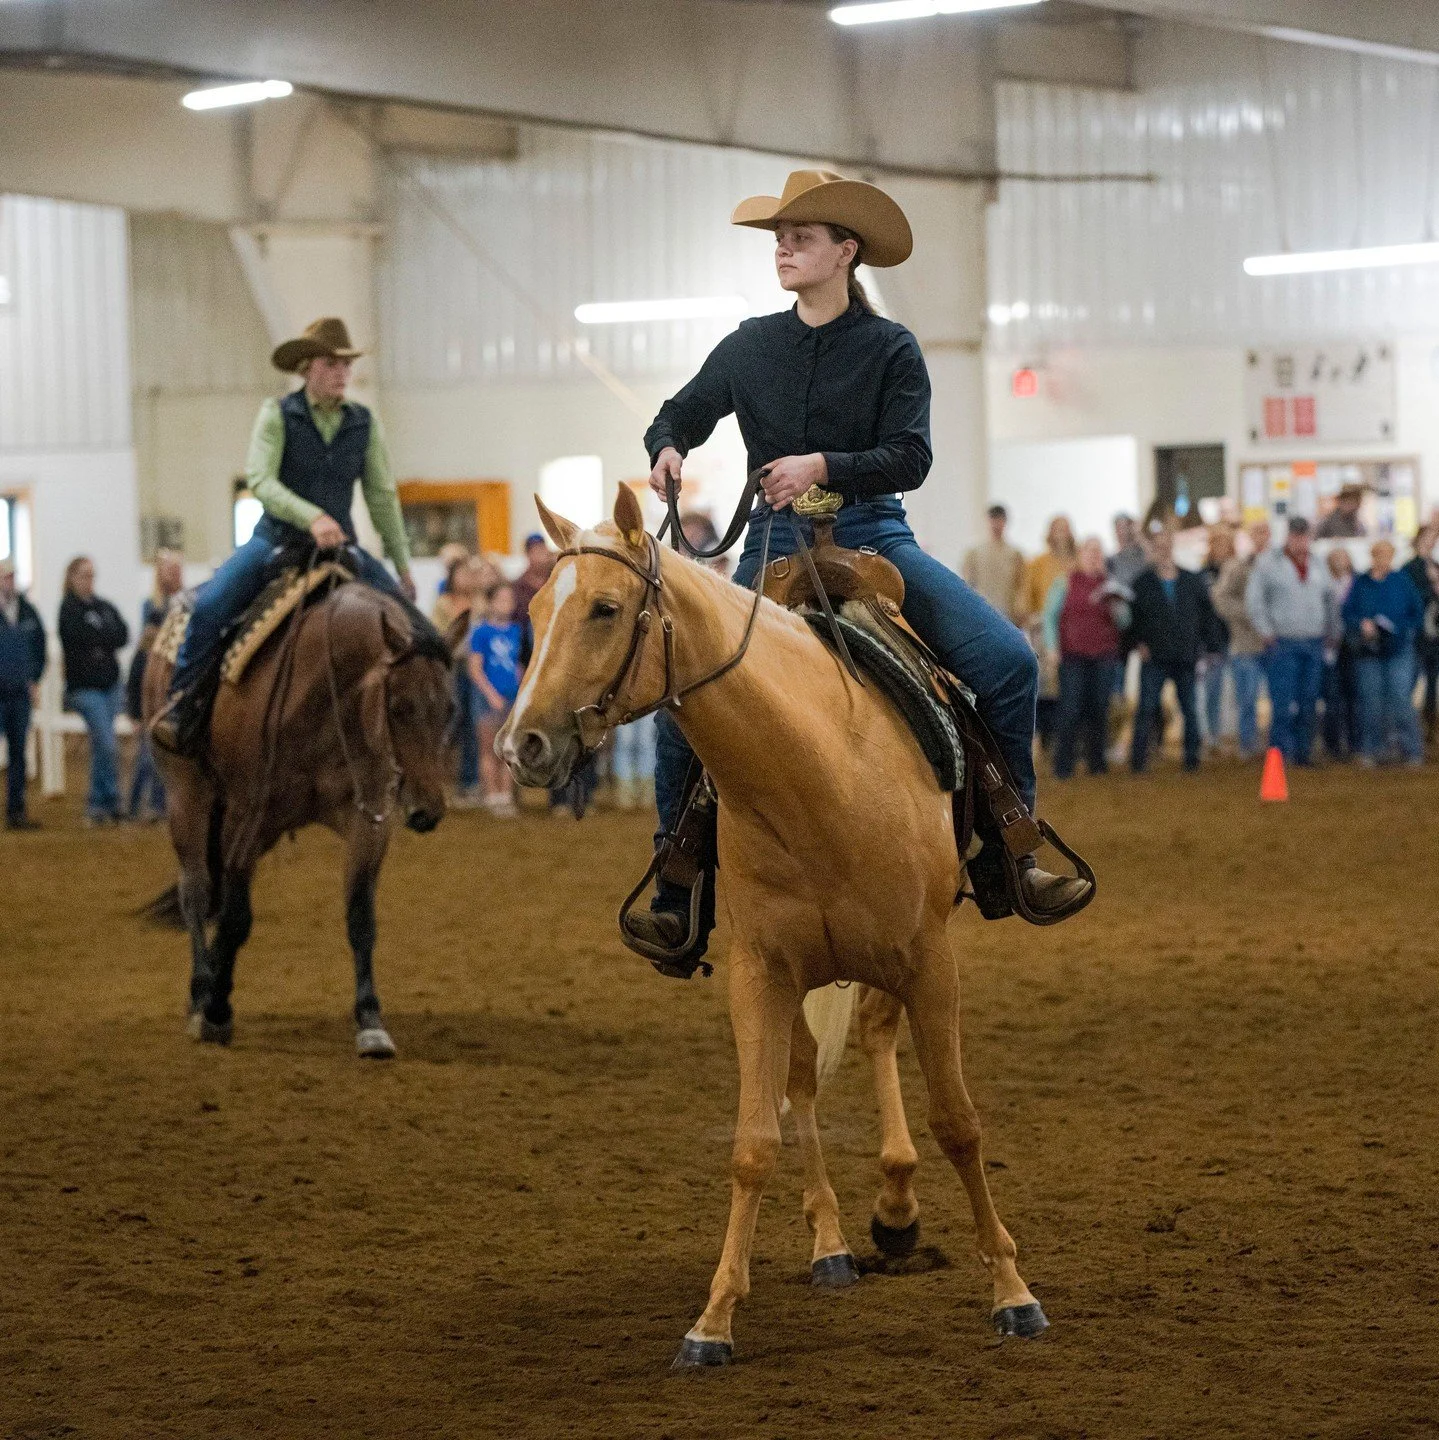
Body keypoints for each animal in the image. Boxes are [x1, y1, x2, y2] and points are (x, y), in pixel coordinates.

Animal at [143, 577, 460, 1058]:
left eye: (450, 709)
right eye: (399, 706)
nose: (428, 809)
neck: (330, 697)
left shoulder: (368, 821)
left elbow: (360, 919)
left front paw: (371, 1022)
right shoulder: (250, 818)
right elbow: (237, 918)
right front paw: (216, 1011)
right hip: (186, 794)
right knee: (196, 891)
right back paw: (201, 991)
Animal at [497, 486, 1049, 1366]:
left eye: (604, 609)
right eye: (537, 609)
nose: (522, 744)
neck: (818, 766)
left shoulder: (929, 960)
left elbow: (958, 1123)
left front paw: (1012, 1291)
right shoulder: (760, 972)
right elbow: (756, 1139)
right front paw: (713, 1319)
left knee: (876, 1033)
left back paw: (897, 1206)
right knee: (804, 1082)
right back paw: (836, 1244)